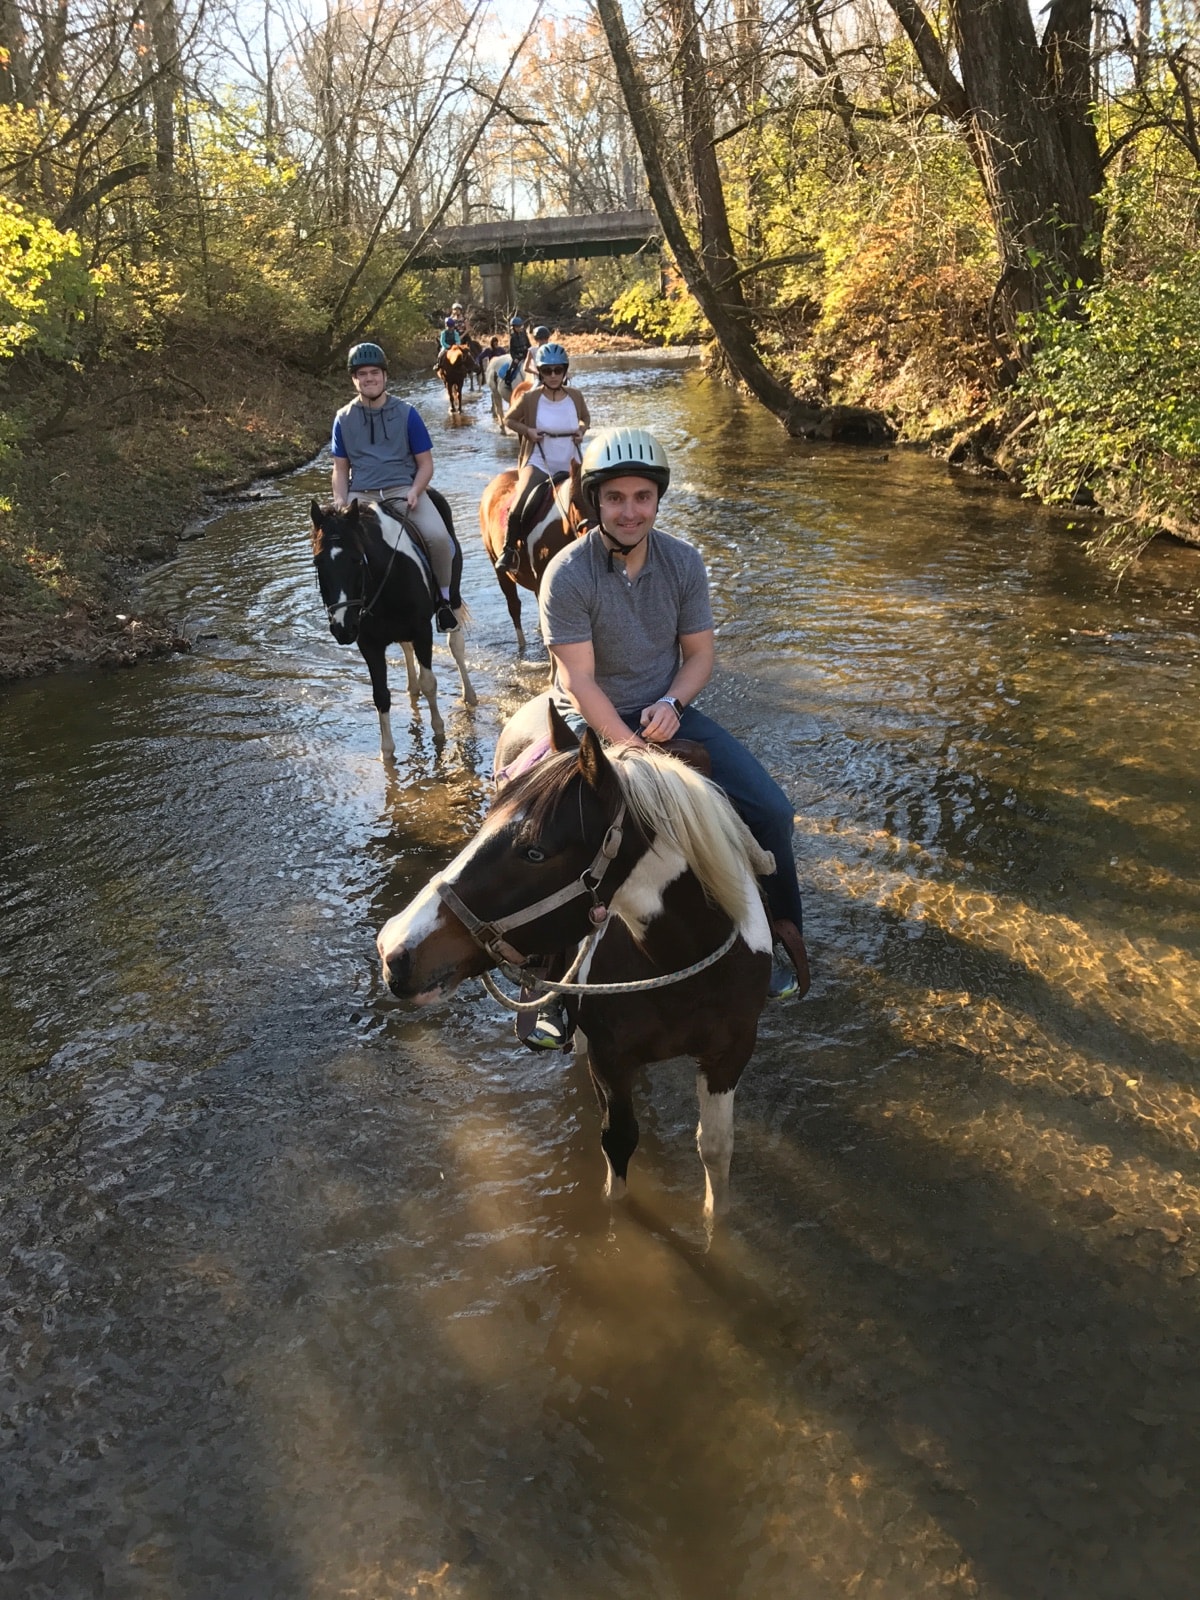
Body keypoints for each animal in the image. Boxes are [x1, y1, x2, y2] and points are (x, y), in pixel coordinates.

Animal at [312, 492, 476, 755]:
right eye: (318, 562)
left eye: (357, 560)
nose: (342, 628)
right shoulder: (368, 644)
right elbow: (380, 695)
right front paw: (386, 753)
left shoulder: (422, 631)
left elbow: (429, 682)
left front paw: (439, 733)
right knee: (406, 647)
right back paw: (412, 688)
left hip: (453, 597)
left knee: (456, 646)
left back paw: (469, 695)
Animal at [377, 700, 780, 1209]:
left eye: (534, 852)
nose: (393, 948)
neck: (683, 969)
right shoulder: (611, 1058)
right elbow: (619, 1141)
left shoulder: (730, 1054)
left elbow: (716, 1148)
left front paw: (715, 1222)